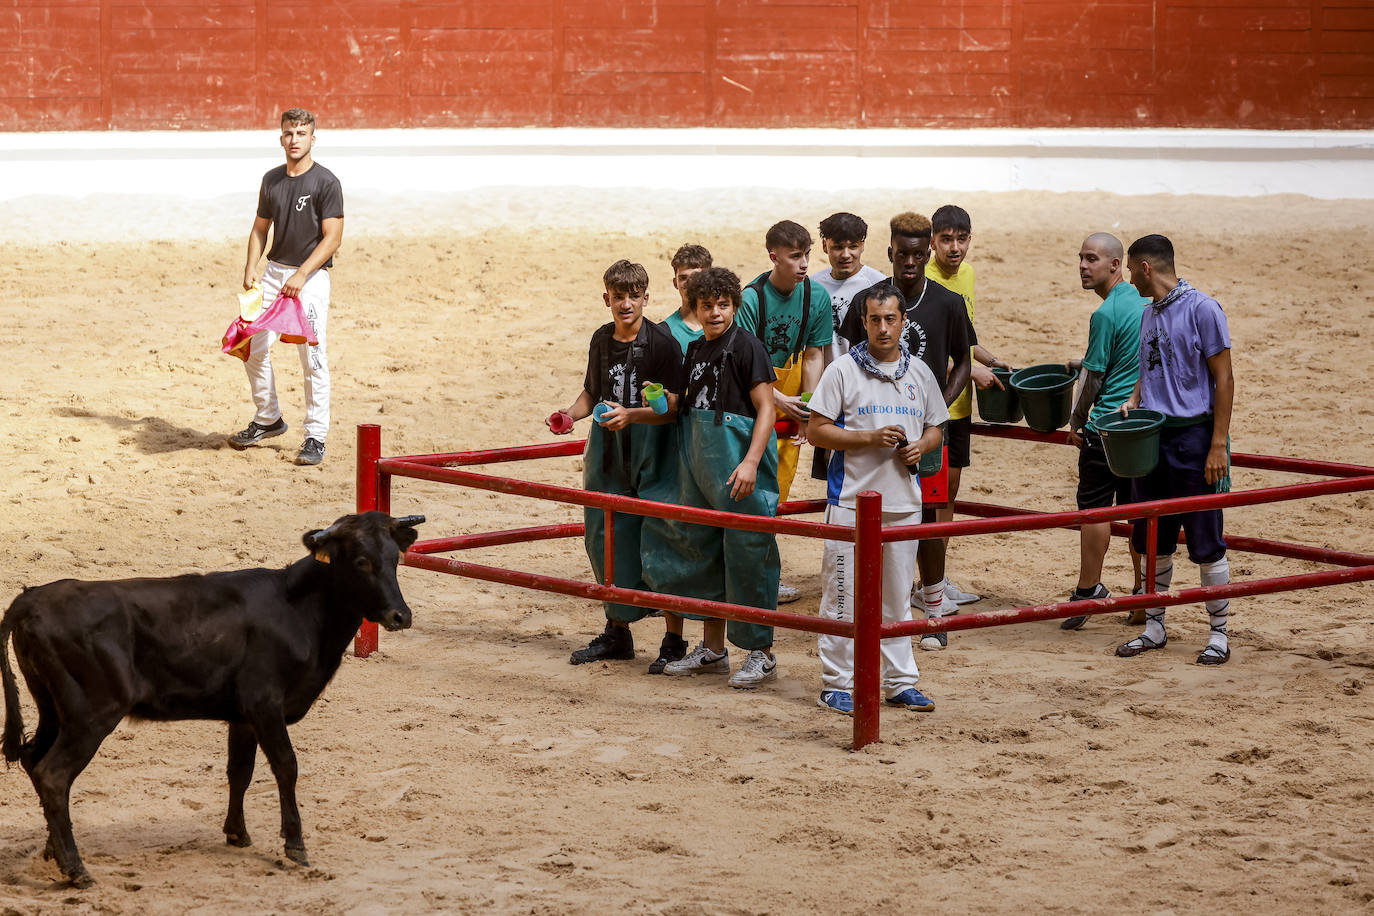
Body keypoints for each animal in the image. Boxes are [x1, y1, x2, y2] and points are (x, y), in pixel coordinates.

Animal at [0, 513, 423, 884]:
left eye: (395, 560)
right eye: (361, 562)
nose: (400, 616)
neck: (297, 610)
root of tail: (30, 599)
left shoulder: (243, 716)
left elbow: (240, 770)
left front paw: (238, 833)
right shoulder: (265, 704)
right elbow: (286, 766)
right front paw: (295, 845)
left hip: (53, 710)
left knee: (34, 760)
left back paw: (53, 851)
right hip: (93, 714)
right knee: (53, 775)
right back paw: (76, 869)